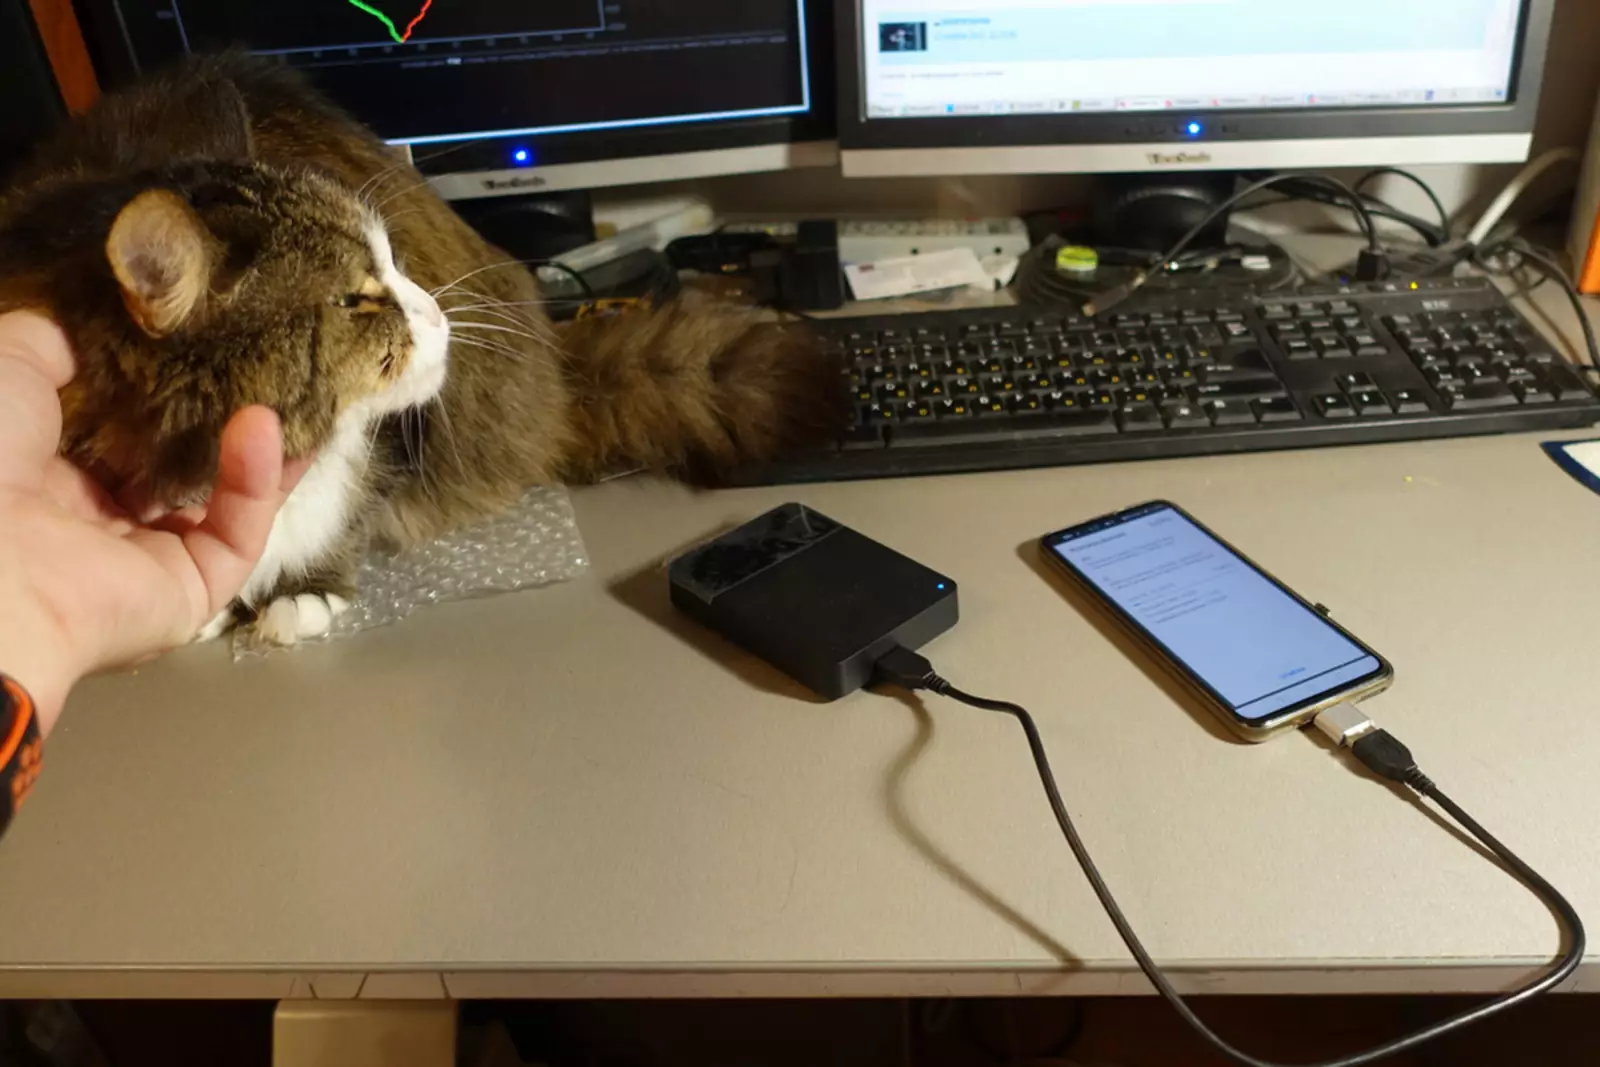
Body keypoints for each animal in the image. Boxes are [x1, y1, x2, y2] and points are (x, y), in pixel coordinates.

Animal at [0, 53, 843, 646]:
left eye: (394, 258)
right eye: (356, 300)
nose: (439, 312)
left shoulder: (369, 457)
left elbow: (336, 517)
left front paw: (303, 594)